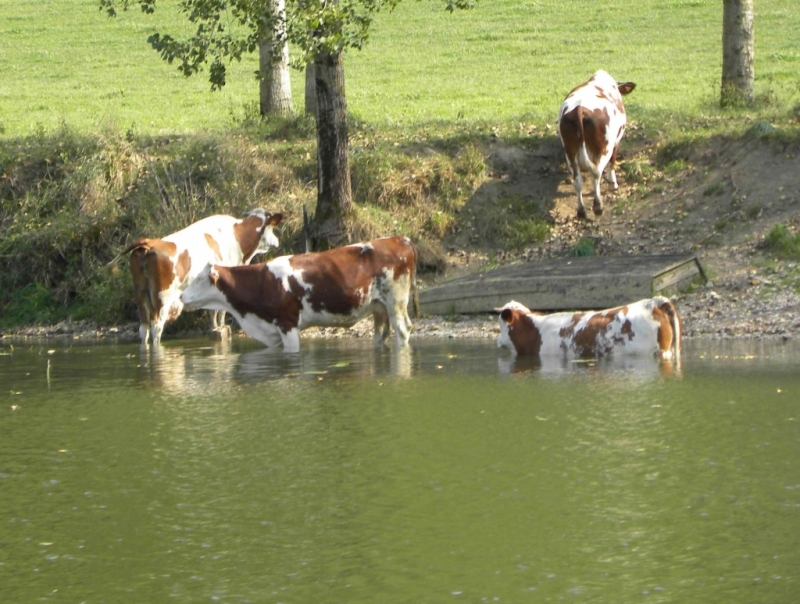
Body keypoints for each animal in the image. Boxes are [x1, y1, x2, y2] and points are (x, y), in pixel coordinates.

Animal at [119, 210, 282, 346]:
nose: (277, 241)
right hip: (162, 299)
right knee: (156, 328)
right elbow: (220, 310)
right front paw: (221, 326)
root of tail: (150, 243)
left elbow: (212, 310)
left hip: (141, 296)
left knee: (143, 329)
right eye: (272, 228)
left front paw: (215, 328)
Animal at [180, 234, 418, 352]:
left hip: (396, 300)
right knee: (381, 334)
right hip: (379, 306)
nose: (181, 297)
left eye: (199, 279)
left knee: (403, 330)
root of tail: (401, 239)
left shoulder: (288, 324)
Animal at [556, 69, 636, 219]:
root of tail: (579, 108)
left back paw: (581, 210)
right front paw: (613, 183)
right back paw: (598, 206)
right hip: (603, 148)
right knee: (596, 173)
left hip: (569, 150)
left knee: (577, 180)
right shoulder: (616, 142)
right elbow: (613, 162)